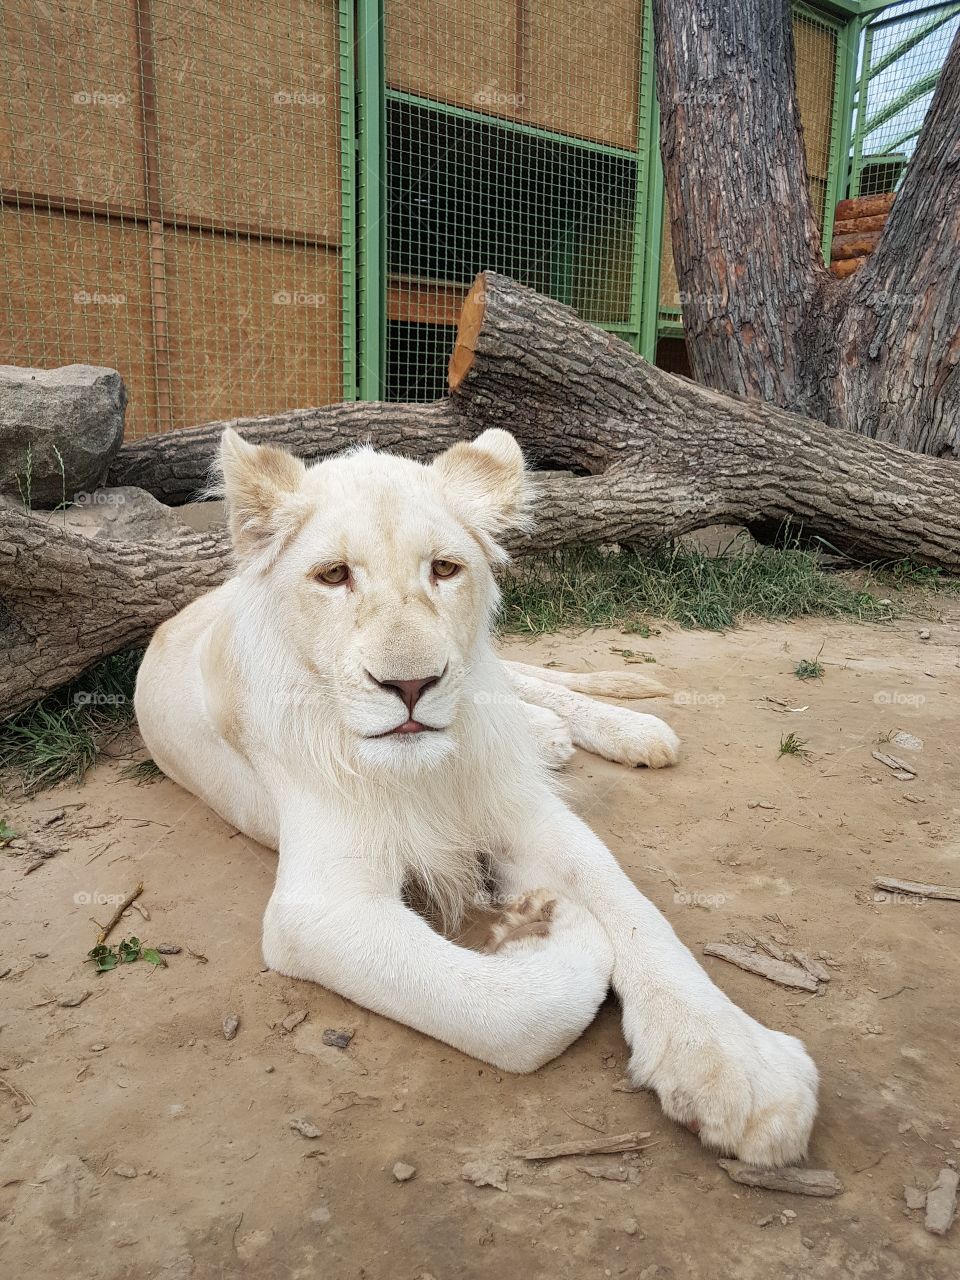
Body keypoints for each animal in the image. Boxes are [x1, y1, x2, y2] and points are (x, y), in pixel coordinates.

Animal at [135, 427, 818, 1167]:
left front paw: (735, 1061)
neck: (428, 770)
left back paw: (626, 731)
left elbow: (633, 909)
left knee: (526, 680)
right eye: (334, 576)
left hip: (491, 674)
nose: (411, 685)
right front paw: (551, 927)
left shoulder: (526, 813)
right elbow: (511, 1013)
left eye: (444, 569)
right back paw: (553, 740)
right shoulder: (315, 908)